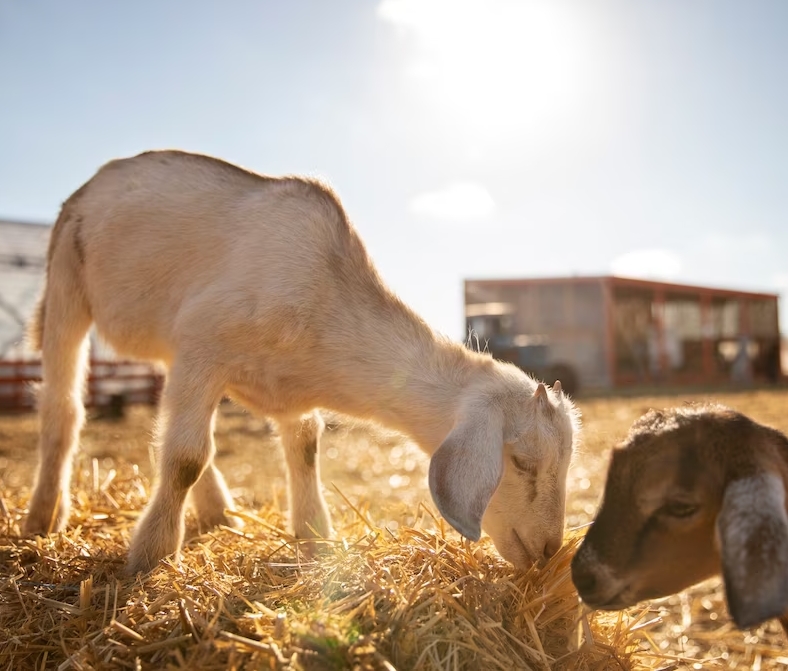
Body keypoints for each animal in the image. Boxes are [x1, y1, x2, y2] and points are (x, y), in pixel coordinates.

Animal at [26, 151, 580, 572]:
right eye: (522, 462)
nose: (548, 551)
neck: (324, 298)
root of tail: (95, 181)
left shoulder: (273, 384)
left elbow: (305, 448)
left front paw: (316, 537)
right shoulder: (204, 346)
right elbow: (185, 457)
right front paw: (150, 554)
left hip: (168, 343)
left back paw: (219, 512)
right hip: (67, 278)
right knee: (64, 407)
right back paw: (43, 517)